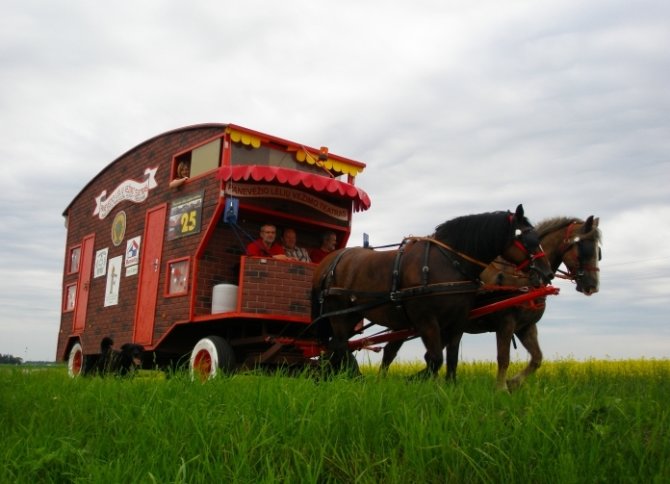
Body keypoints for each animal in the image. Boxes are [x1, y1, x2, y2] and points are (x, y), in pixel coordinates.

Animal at [312, 204, 552, 378]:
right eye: (525, 237)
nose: (547, 272)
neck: (450, 262)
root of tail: (331, 260)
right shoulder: (426, 320)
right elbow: (435, 359)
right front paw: (415, 380)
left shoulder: (458, 321)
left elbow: (451, 360)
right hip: (338, 313)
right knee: (341, 346)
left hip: (352, 314)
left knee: (336, 347)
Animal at [384, 216, 604, 390]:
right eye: (583, 247)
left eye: (598, 251)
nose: (592, 286)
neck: (522, 277)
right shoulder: (506, 322)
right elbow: (503, 358)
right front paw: (501, 388)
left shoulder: (526, 327)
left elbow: (537, 358)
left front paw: (514, 382)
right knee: (395, 351)